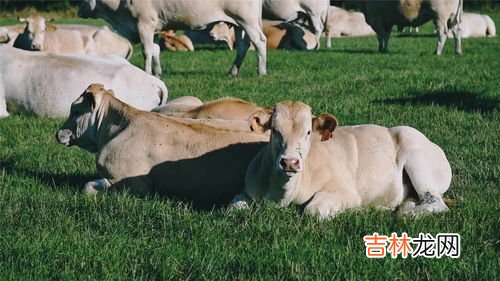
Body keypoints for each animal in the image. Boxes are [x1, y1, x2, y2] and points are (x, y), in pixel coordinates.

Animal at [77, 0, 266, 76]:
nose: (78, 11)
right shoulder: (153, 29)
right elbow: (155, 50)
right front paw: (158, 72)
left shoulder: (144, 23)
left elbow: (147, 51)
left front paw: (147, 72)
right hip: (238, 24)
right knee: (243, 46)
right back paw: (233, 71)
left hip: (247, 20)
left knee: (259, 42)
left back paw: (261, 72)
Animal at [233, 100, 454, 219]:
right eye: (275, 130)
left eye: (308, 132)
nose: (289, 162)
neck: (284, 195)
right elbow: (235, 208)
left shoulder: (344, 192)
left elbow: (313, 210)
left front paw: (356, 211)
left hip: (416, 156)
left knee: (435, 203)